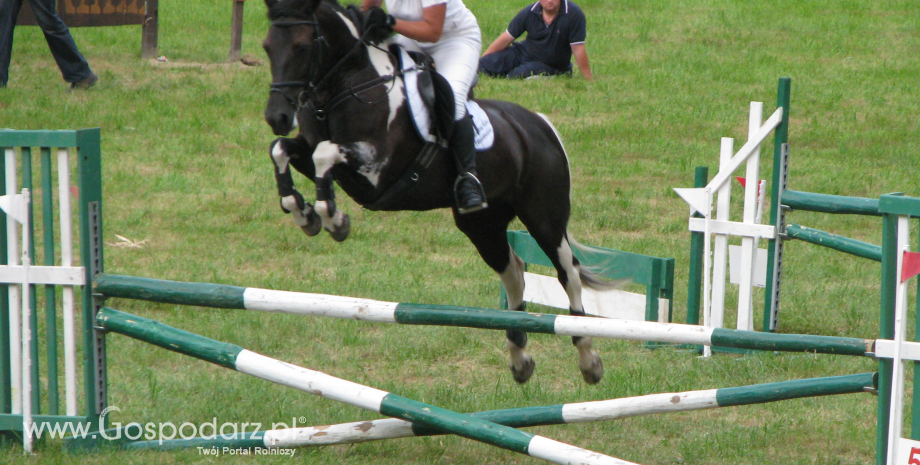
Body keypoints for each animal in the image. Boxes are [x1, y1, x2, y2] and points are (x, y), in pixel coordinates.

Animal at [262, 0, 616, 384]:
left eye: (301, 47)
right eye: (266, 47)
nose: (277, 117)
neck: (349, 85)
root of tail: (539, 125)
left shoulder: (375, 169)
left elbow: (324, 154)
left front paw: (334, 220)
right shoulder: (318, 153)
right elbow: (282, 150)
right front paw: (305, 214)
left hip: (544, 217)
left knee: (568, 274)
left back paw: (589, 359)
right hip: (481, 224)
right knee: (512, 271)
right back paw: (520, 358)